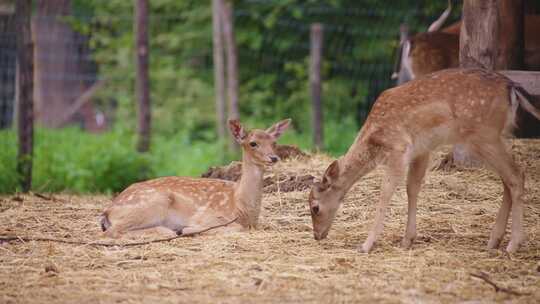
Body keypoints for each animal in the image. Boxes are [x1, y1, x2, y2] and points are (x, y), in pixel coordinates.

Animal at [100, 118, 292, 238]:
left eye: (274, 142)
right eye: (253, 143)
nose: (273, 158)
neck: (241, 206)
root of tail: (108, 211)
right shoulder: (206, 216)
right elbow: (235, 228)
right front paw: (187, 230)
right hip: (152, 204)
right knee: (112, 231)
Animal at [308, 67, 540, 253]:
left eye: (315, 207)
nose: (317, 236)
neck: (374, 140)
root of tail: (511, 87)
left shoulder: (399, 148)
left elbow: (385, 193)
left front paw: (366, 245)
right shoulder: (422, 151)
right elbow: (412, 188)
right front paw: (407, 240)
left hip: (484, 135)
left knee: (516, 175)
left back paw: (513, 245)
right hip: (496, 136)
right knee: (508, 179)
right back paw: (494, 241)